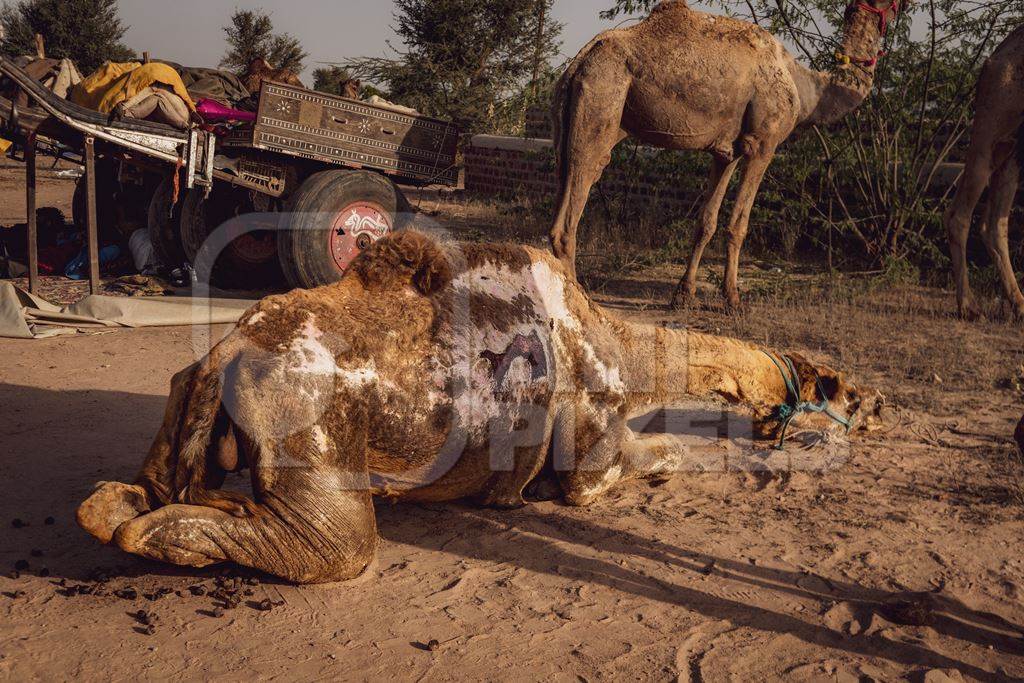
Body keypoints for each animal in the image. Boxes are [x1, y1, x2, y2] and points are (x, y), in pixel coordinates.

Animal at [77, 229, 872, 581]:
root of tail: (226, 353)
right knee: (336, 542)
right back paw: (174, 531)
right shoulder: (592, 450)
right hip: (308, 420)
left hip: (184, 395)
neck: (621, 345)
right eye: (847, 391)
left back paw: (143, 509)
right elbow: (659, 453)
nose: (880, 406)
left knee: (125, 494)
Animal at [942, 23, 1024, 317]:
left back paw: (1018, 304)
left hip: (1012, 150)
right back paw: (968, 305)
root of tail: (992, 60)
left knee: (994, 222)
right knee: (960, 215)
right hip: (990, 132)